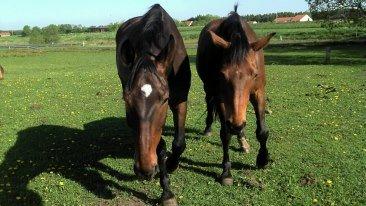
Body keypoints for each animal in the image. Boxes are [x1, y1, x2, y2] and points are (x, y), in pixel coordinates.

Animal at [116, 4, 192, 205]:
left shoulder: (180, 100)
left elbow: (178, 143)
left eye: (165, 99)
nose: (144, 169)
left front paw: (172, 165)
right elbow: (160, 146)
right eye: (126, 99)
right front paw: (167, 192)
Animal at [197, 4, 274, 185]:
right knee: (210, 105)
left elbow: (262, 130)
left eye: (254, 74)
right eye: (222, 74)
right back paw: (209, 128)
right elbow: (225, 134)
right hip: (208, 89)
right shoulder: (220, 96)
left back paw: (242, 140)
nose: (236, 125)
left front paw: (263, 159)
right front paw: (226, 172)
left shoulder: (258, 92)